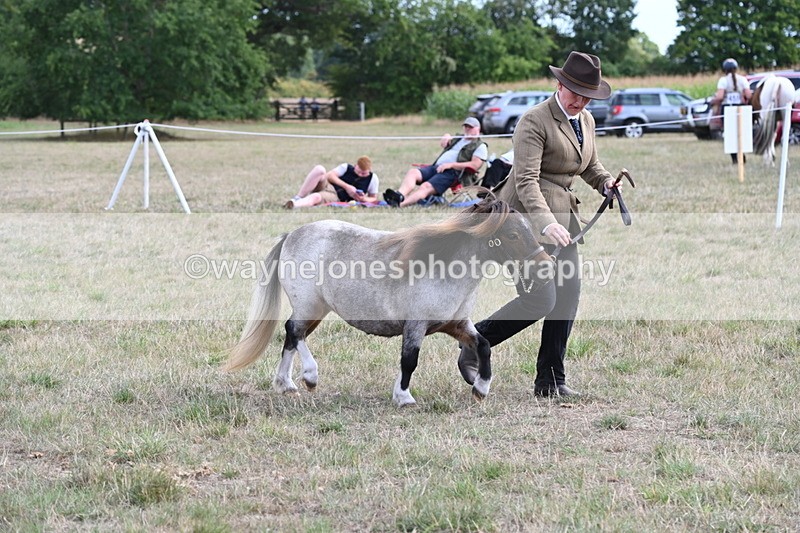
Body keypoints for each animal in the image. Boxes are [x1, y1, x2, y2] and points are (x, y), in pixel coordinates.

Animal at [223, 197, 553, 407]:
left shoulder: (456, 324)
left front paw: (481, 388)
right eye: (513, 235)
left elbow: (483, 345)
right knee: (294, 331)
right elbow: (410, 360)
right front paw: (404, 397)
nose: (546, 267)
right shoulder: (416, 326)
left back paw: (286, 384)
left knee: (292, 336)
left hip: (315, 310)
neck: (444, 268)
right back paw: (310, 377)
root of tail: (292, 234)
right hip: (309, 306)